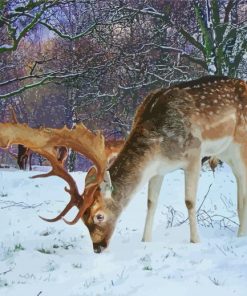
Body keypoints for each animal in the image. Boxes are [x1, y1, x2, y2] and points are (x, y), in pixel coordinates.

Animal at [0, 75, 247, 253]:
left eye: (99, 215)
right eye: (84, 220)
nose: (98, 248)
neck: (159, 146)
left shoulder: (194, 154)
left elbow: (189, 201)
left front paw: (195, 241)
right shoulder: (158, 170)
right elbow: (151, 202)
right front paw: (145, 240)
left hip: (240, 142)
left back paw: (240, 235)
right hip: (226, 152)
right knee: (239, 181)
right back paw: (240, 233)